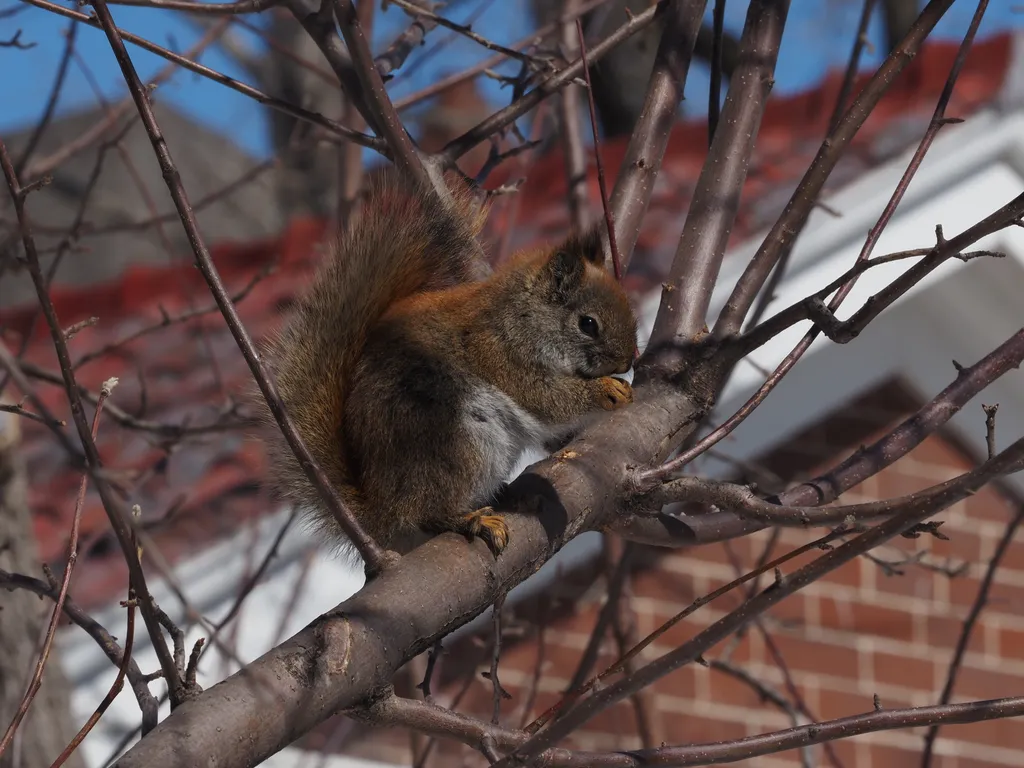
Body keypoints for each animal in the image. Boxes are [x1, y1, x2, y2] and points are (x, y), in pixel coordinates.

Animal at [258, 169, 638, 558]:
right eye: (587, 324)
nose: (629, 360)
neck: (520, 316)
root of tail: (383, 511)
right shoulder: (499, 354)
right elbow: (546, 399)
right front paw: (605, 392)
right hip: (452, 441)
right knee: (426, 512)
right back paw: (470, 520)